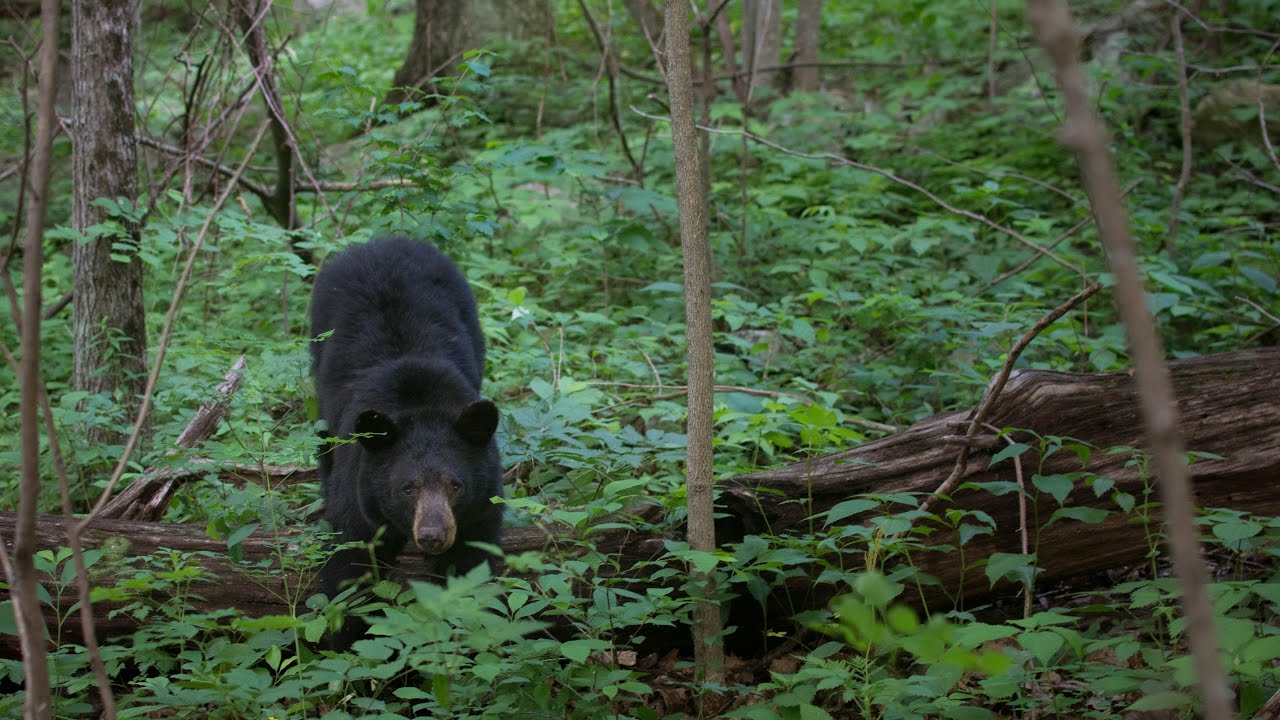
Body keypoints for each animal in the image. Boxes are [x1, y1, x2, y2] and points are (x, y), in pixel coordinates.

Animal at [309, 236, 503, 648]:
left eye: (456, 485)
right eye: (407, 488)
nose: (432, 536)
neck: (418, 401)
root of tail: (379, 242)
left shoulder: (481, 507)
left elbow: (471, 565)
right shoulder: (359, 491)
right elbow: (347, 567)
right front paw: (342, 643)